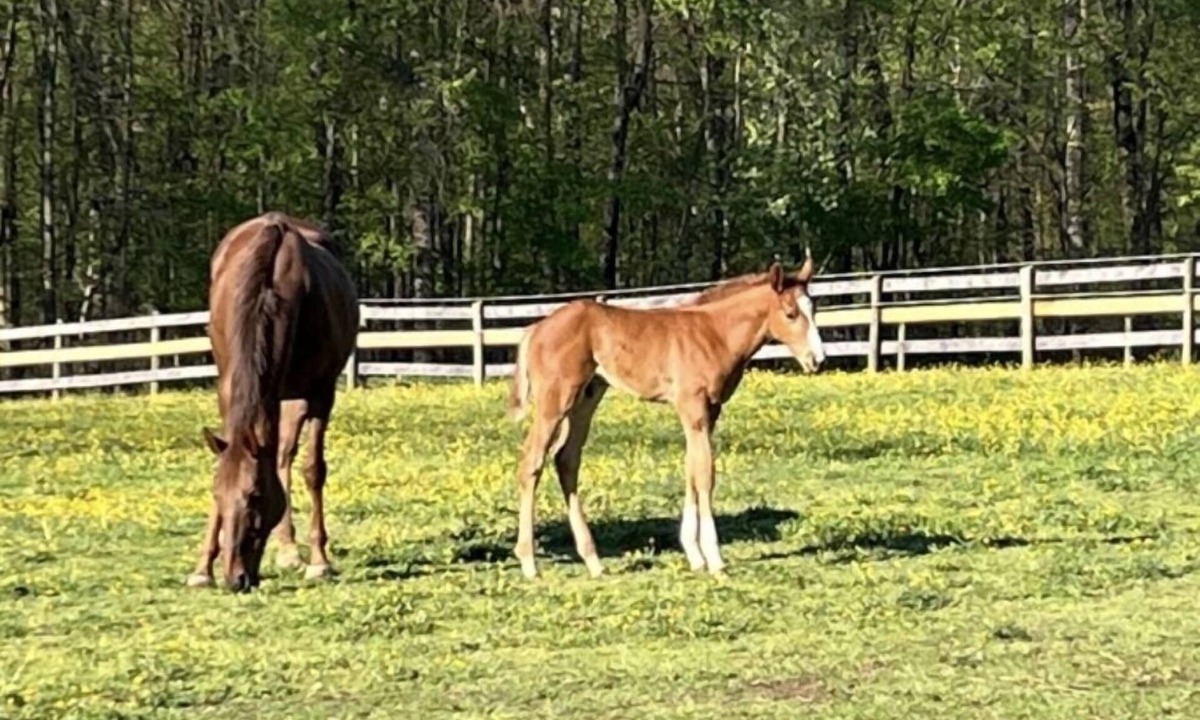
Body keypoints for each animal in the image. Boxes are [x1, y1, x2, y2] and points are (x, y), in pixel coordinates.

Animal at [185, 211, 359, 592]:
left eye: (255, 496)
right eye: (217, 494)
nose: (236, 578)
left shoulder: (321, 392)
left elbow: (313, 469)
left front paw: (319, 561)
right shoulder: (228, 388)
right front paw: (202, 568)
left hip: (294, 396)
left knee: (284, 457)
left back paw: (293, 550)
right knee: (280, 456)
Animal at [506, 255, 826, 579]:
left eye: (814, 309)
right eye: (790, 313)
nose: (817, 360)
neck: (715, 334)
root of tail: (536, 328)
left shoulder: (709, 413)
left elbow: (691, 469)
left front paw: (695, 555)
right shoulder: (692, 407)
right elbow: (705, 475)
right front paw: (715, 560)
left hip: (587, 398)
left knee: (566, 459)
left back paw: (593, 561)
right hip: (555, 400)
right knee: (532, 461)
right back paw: (529, 562)